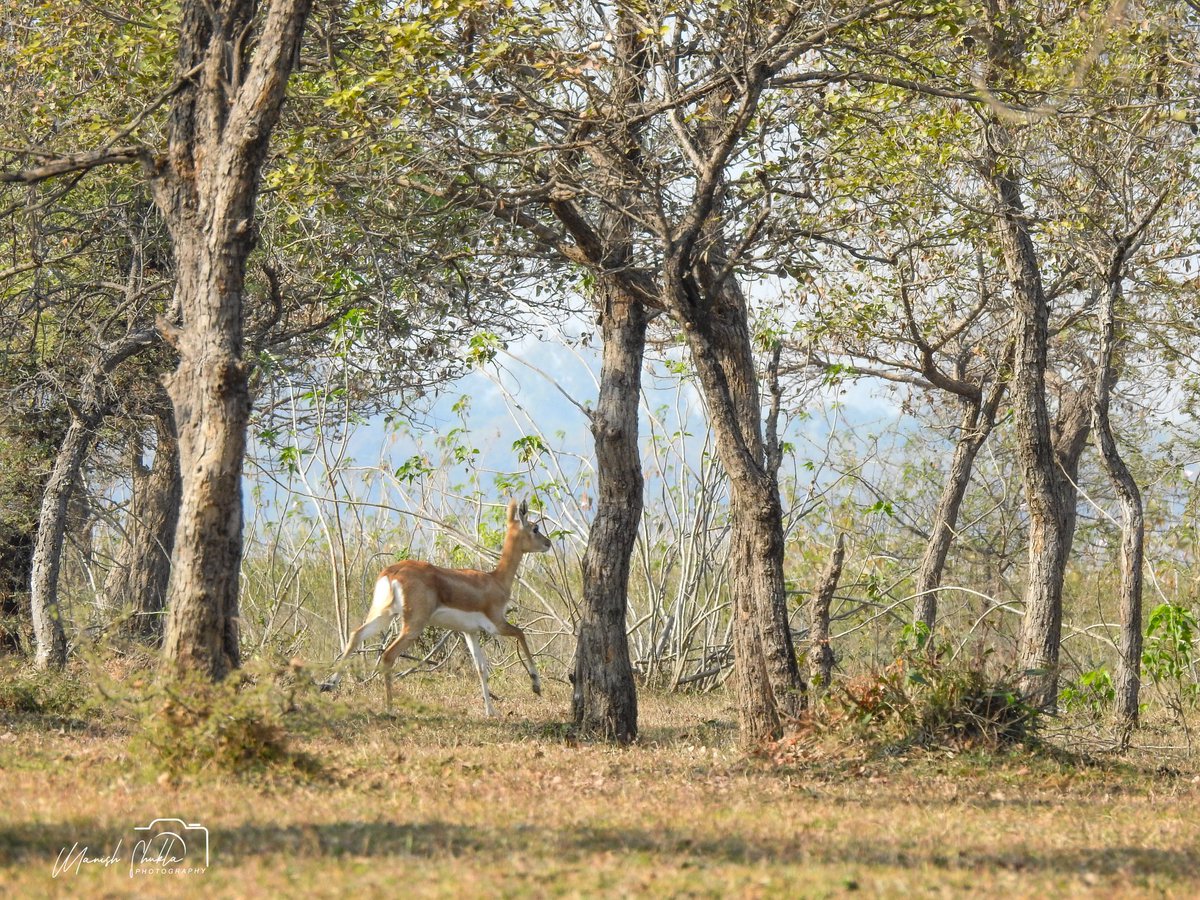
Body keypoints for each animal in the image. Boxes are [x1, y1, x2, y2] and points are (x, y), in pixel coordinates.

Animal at [328, 501, 552, 720]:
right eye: (535, 528)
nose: (548, 543)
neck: (495, 579)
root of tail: (392, 572)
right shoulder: (496, 624)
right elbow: (521, 634)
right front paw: (536, 686)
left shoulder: (469, 632)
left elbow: (481, 668)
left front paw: (491, 711)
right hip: (413, 625)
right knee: (388, 655)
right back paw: (390, 710)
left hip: (384, 615)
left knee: (356, 635)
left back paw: (329, 684)